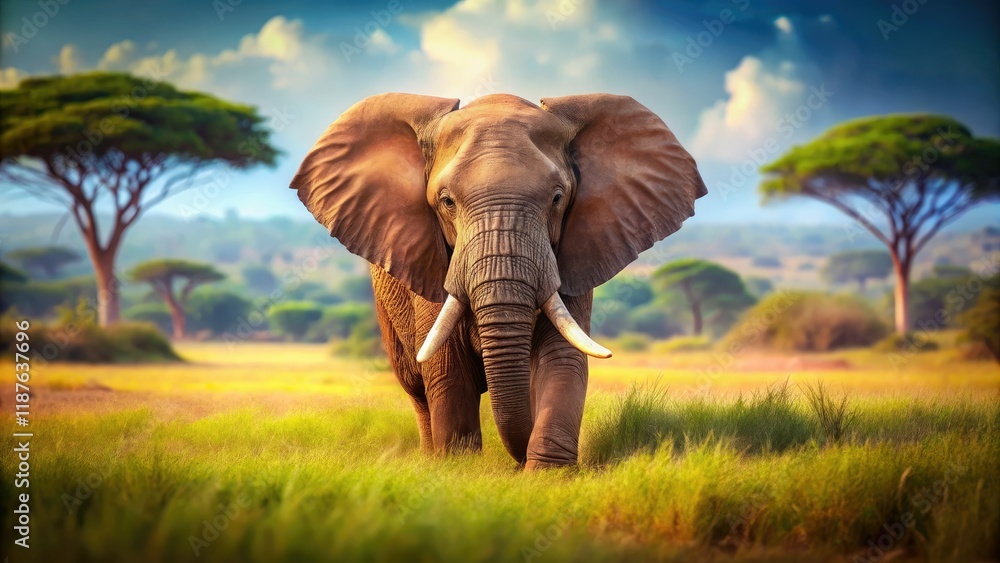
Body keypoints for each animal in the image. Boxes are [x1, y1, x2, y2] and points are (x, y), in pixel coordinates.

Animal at [290, 93, 706, 469]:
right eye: (447, 202)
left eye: (557, 198)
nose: (519, 462)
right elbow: (446, 365)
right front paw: (457, 469)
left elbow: (562, 358)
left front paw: (547, 475)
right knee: (416, 386)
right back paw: (430, 458)